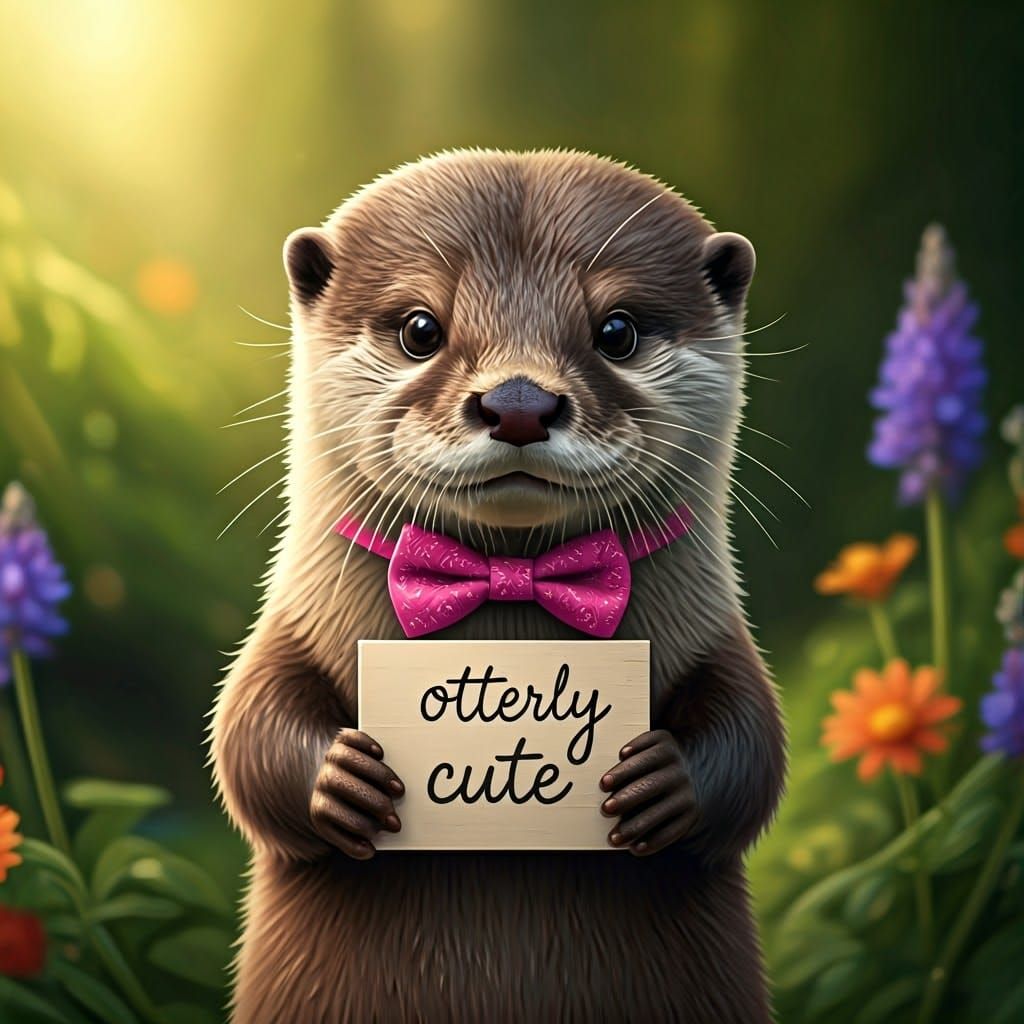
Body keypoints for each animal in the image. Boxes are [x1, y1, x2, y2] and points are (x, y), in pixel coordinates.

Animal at [210, 149, 787, 1022]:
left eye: (617, 330)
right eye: (421, 328)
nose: (519, 400)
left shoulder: (722, 637)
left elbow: (753, 743)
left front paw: (662, 782)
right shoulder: (290, 628)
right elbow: (247, 728)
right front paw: (342, 779)